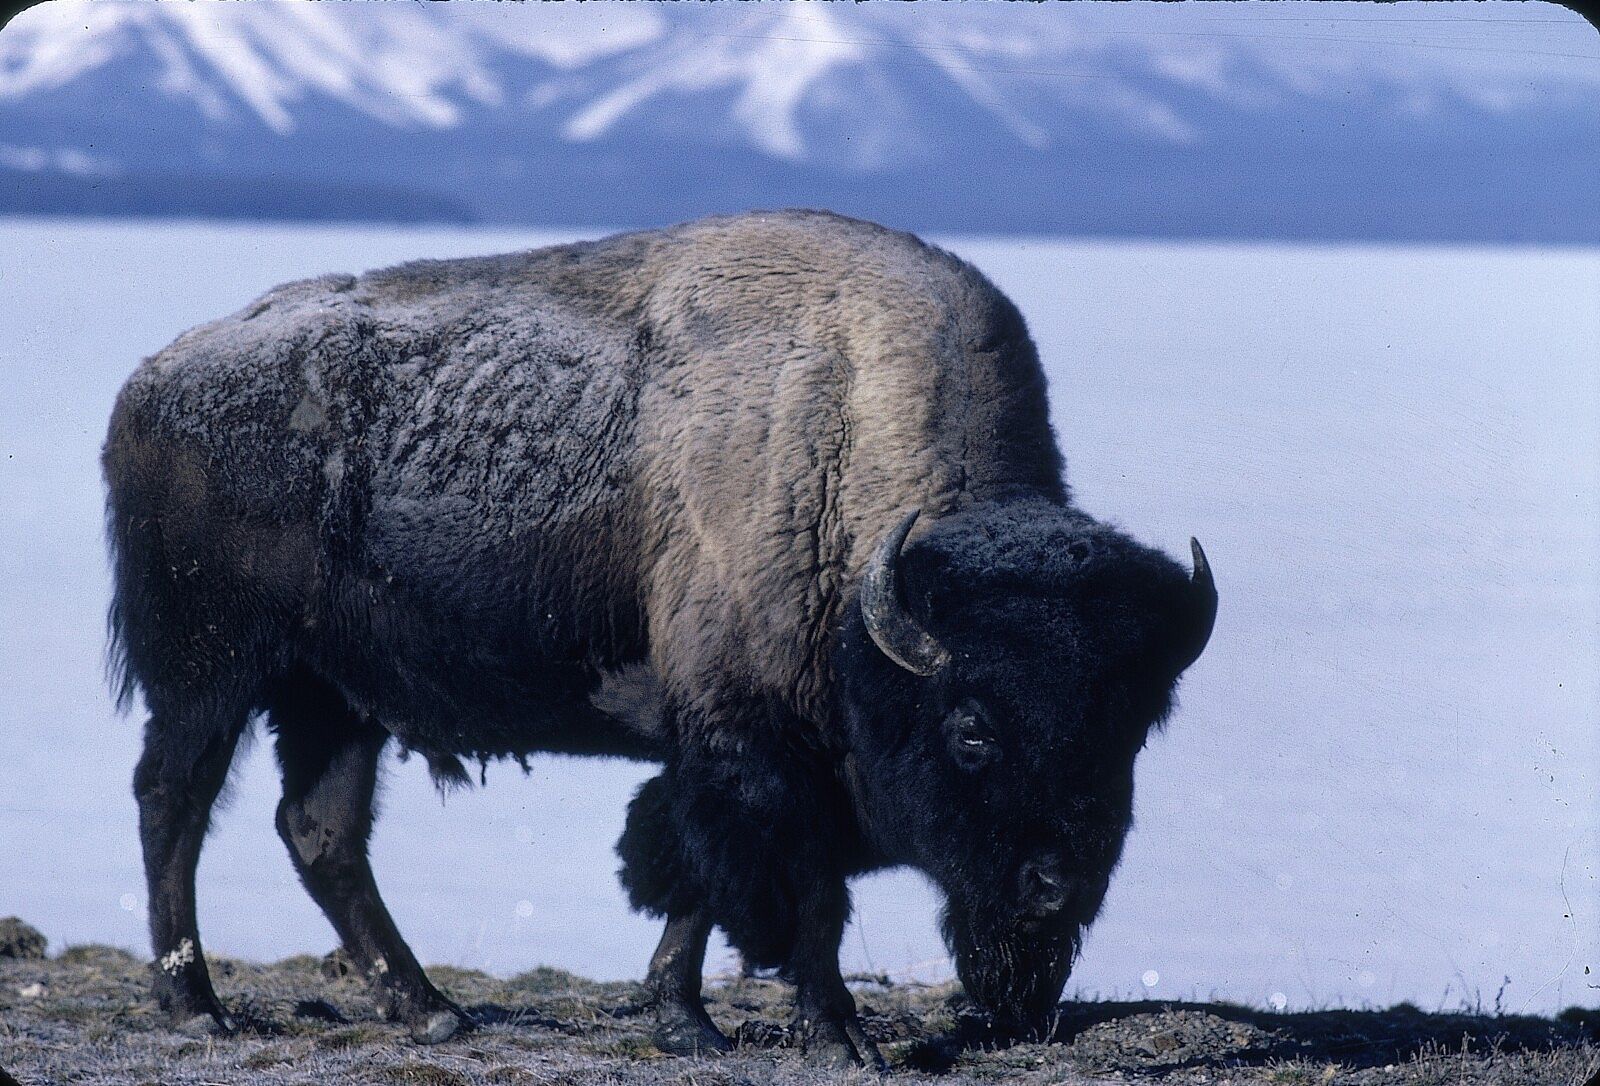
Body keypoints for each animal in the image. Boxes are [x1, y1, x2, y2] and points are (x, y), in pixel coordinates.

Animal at [104, 210, 1216, 1067]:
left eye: (1131, 731)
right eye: (973, 729)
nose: (1055, 887)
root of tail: (151, 382)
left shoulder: (716, 747)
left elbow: (692, 881)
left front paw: (684, 1021)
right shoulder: (758, 750)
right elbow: (796, 893)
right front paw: (835, 1035)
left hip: (335, 696)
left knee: (320, 829)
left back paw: (432, 1012)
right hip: (210, 672)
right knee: (173, 800)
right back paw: (198, 1004)